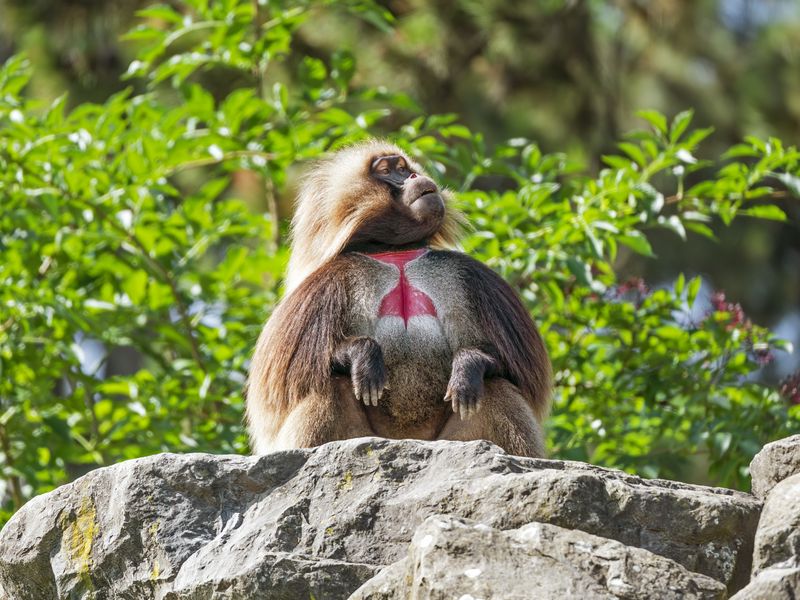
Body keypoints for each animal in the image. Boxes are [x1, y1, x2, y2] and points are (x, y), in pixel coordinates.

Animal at [245, 140, 551, 457]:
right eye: (386, 170)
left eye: (404, 168)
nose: (416, 177)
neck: (395, 252)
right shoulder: (326, 285)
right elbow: (285, 387)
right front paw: (363, 355)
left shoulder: (472, 276)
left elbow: (522, 376)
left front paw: (468, 366)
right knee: (331, 386)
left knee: (494, 386)